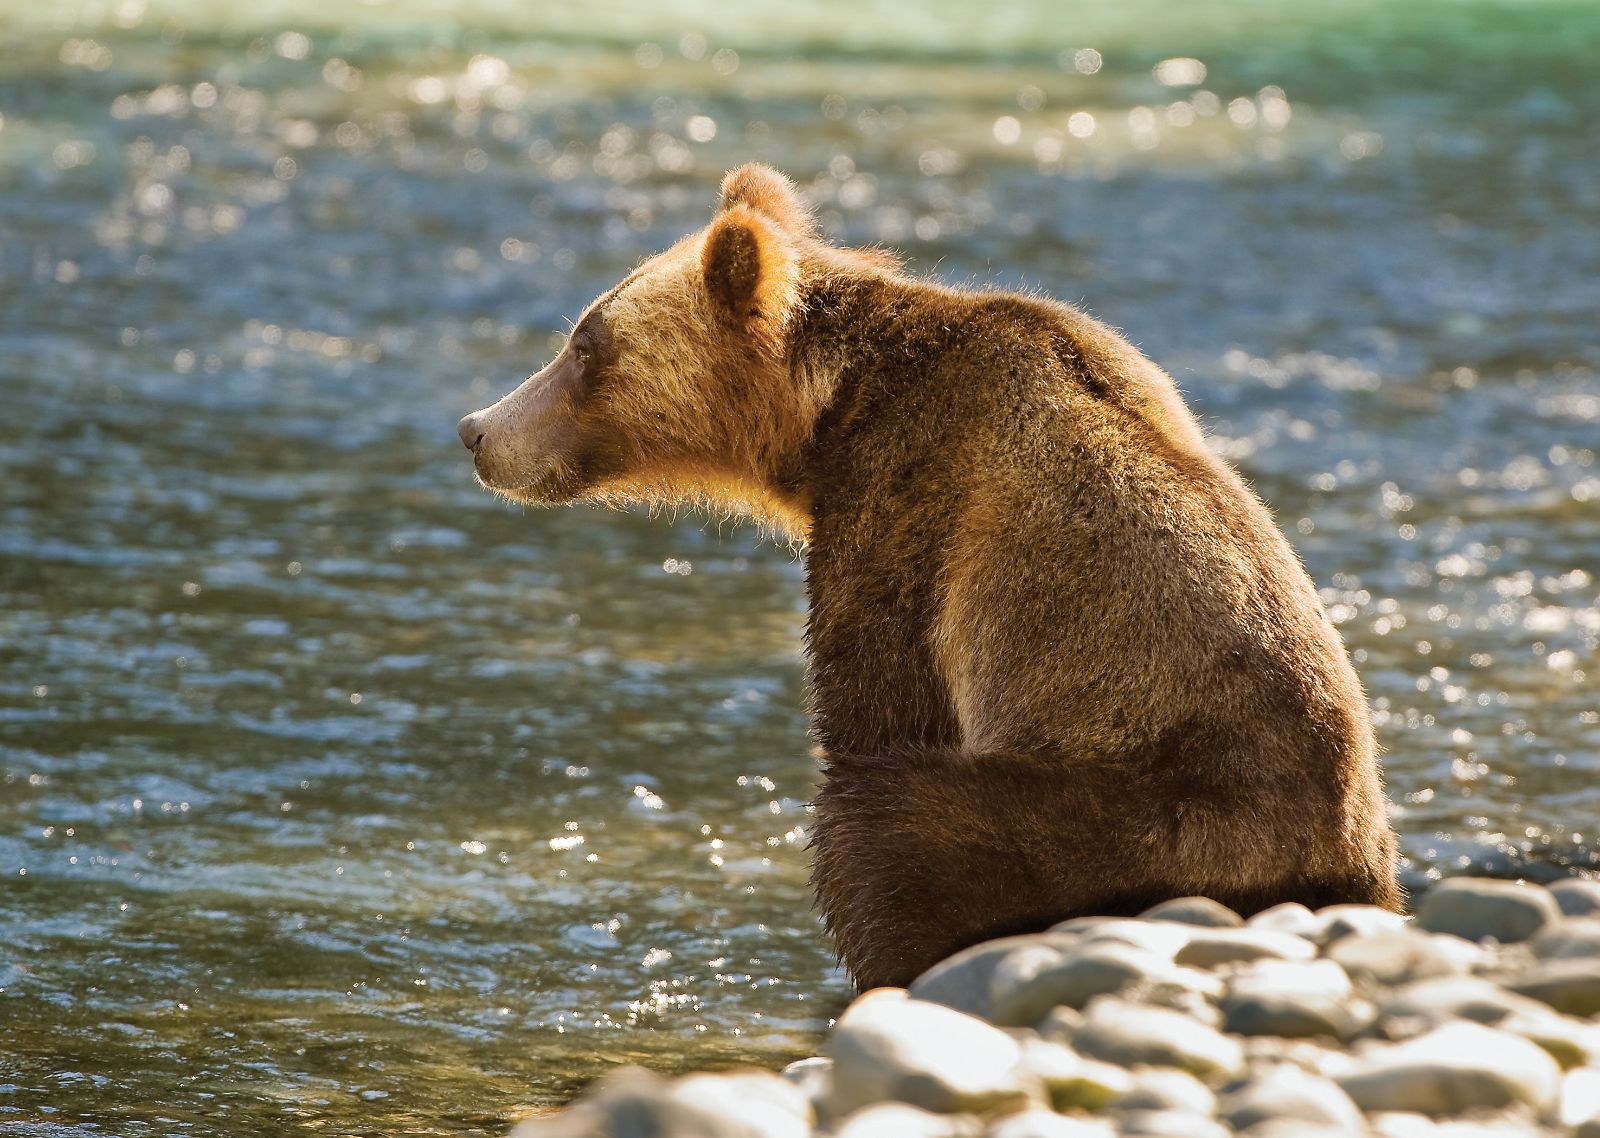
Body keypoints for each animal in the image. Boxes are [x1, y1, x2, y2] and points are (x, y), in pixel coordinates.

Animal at [456, 164, 1403, 991]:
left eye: (584, 345)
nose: (476, 430)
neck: (824, 417)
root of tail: (1329, 865)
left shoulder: (913, 501)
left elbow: (877, 701)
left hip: (1131, 812)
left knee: (889, 827)